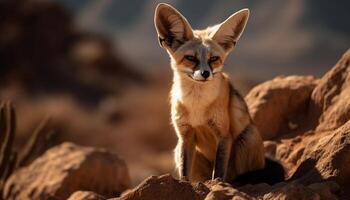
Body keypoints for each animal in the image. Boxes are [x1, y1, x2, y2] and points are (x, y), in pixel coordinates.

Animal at [154, 3, 284, 184]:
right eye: (190, 58)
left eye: (214, 59)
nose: (205, 73)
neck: (197, 107)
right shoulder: (185, 136)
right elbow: (185, 173)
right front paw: (184, 183)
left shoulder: (223, 135)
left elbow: (219, 171)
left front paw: (217, 183)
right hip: (180, 149)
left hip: (247, 138)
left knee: (238, 176)